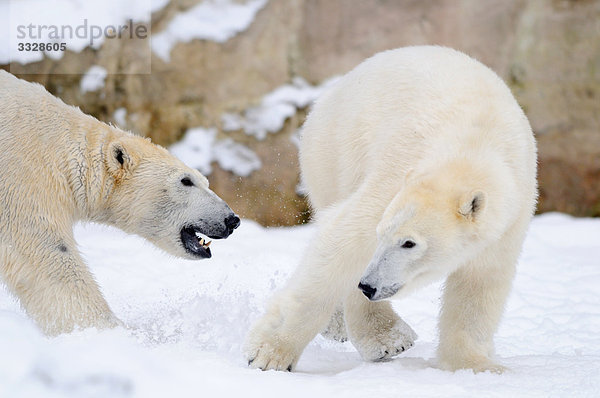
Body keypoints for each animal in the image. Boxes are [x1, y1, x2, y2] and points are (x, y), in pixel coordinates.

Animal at [0, 71, 239, 336]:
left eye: (205, 181)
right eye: (186, 181)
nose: (232, 220)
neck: (60, 148)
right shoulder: (20, 177)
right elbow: (44, 249)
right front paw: (113, 330)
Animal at [245, 46, 540, 374]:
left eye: (409, 243)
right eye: (383, 235)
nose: (369, 285)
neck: (474, 145)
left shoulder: (509, 217)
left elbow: (479, 284)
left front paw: (477, 365)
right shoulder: (398, 174)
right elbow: (346, 239)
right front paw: (269, 353)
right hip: (334, 151)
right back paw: (384, 338)